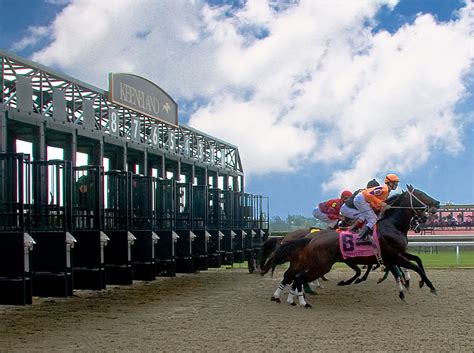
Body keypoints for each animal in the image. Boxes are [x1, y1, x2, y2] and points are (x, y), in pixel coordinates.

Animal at [264, 186, 438, 306]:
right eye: (421, 194)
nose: (436, 204)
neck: (391, 225)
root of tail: (309, 238)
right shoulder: (393, 256)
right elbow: (413, 267)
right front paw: (429, 286)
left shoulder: (394, 255)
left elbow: (416, 262)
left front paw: (410, 285)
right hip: (320, 265)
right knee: (297, 278)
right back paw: (301, 299)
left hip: (308, 263)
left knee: (293, 277)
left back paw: (288, 298)